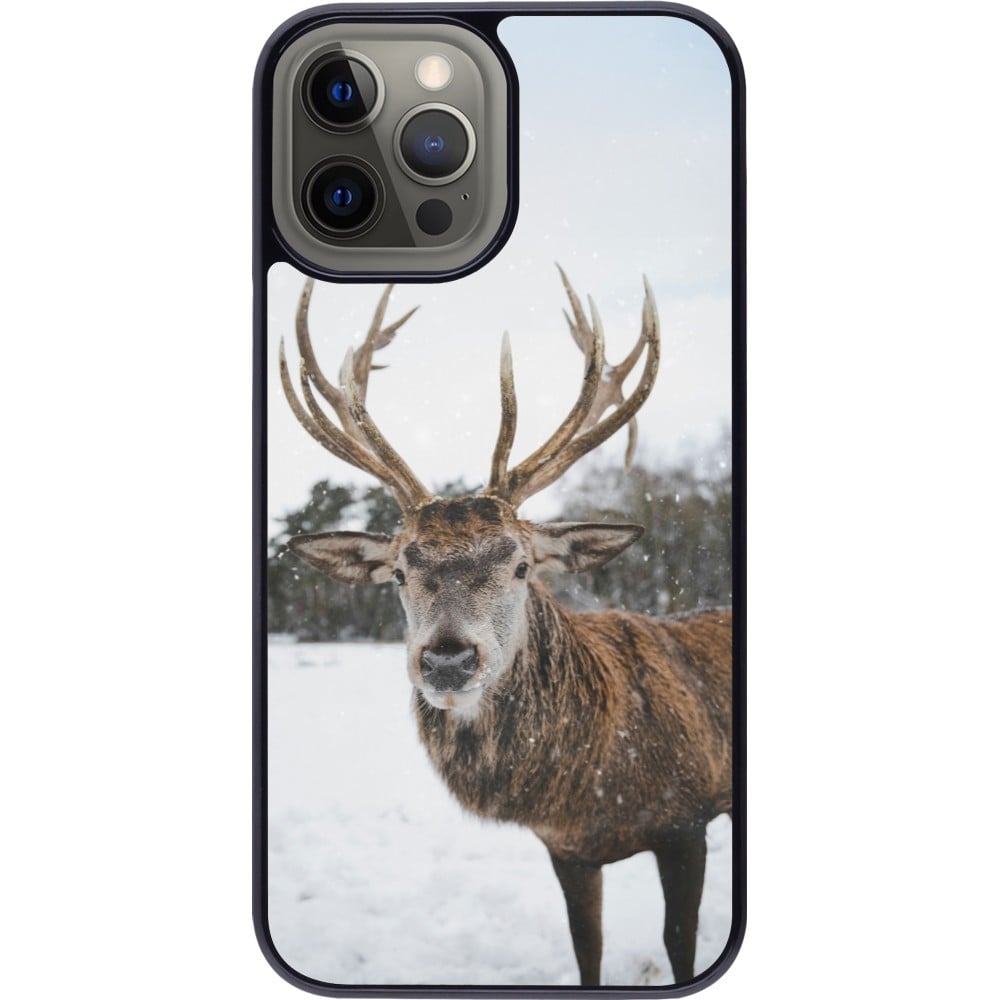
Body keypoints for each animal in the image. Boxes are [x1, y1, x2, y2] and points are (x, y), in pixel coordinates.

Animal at [277, 269, 732, 986]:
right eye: (399, 571)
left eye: (521, 565)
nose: (447, 660)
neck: (592, 785)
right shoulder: (567, 849)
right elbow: (587, 948)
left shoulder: (688, 820)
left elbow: (679, 944)